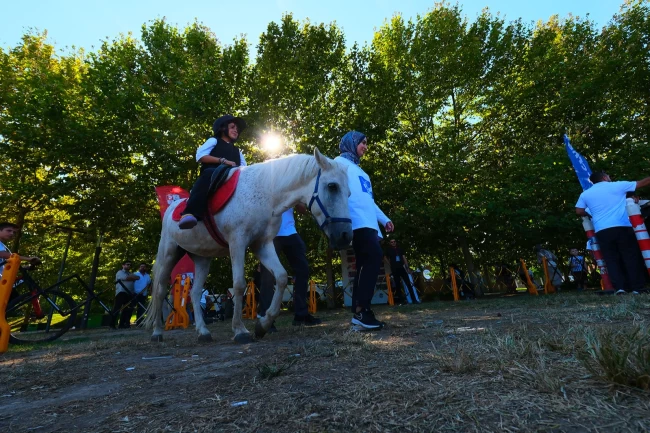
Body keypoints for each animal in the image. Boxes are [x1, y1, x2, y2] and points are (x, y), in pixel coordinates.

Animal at [144, 149, 352, 343]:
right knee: (160, 290)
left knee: (195, 293)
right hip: (170, 253)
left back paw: (203, 332)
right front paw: (240, 330)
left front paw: (263, 324)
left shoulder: (263, 245)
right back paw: (157, 332)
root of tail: (173, 207)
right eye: (332, 186)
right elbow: (238, 285)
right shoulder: (237, 242)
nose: (345, 235)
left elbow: (281, 277)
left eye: (349, 192)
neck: (266, 194)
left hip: (202, 258)